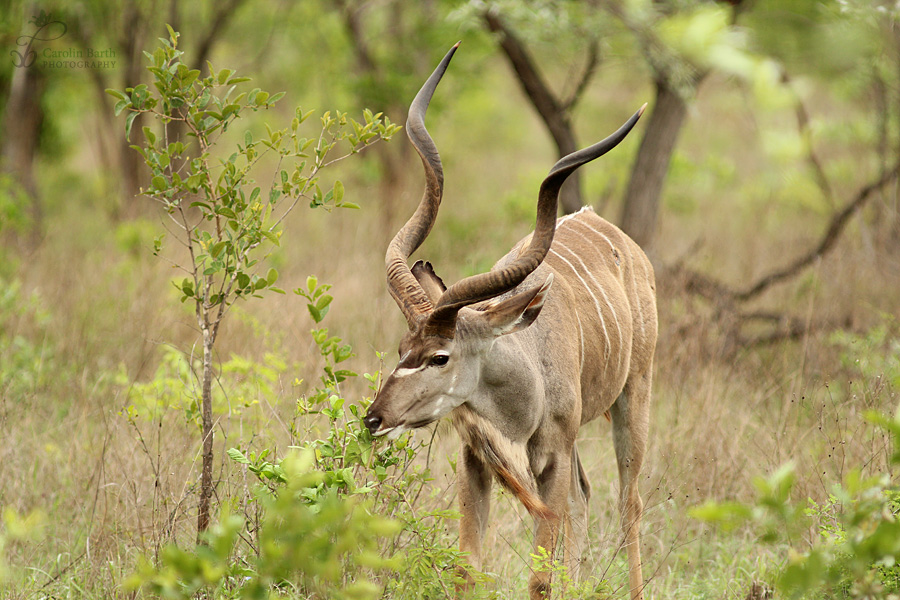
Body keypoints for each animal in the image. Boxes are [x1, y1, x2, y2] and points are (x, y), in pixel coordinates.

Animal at [362, 44, 656, 596]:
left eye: (440, 356)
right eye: (400, 351)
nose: (375, 418)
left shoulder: (552, 457)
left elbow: (538, 577)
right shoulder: (475, 461)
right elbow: (466, 567)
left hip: (635, 393)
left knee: (630, 501)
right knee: (585, 496)